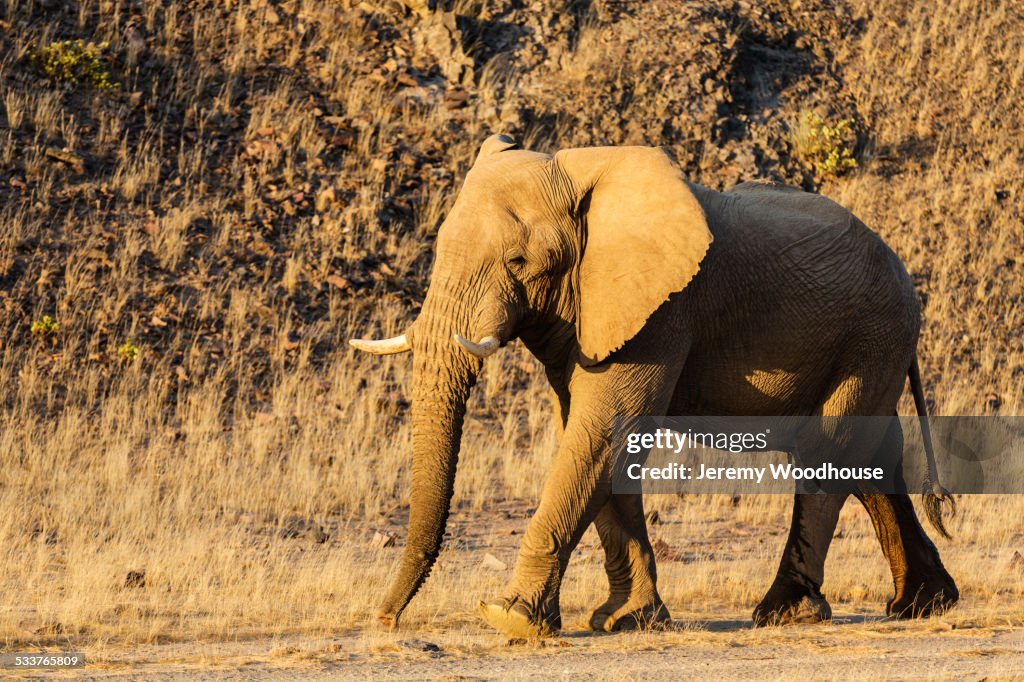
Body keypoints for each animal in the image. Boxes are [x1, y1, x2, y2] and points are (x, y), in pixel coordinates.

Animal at [352, 134, 958, 638]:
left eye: (519, 261)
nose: (385, 620)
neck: (583, 177)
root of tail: (904, 272)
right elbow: (596, 438)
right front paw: (625, 620)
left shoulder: (665, 310)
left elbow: (603, 430)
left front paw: (511, 618)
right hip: (873, 342)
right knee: (871, 457)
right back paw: (923, 606)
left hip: (873, 333)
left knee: (827, 450)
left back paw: (784, 614)